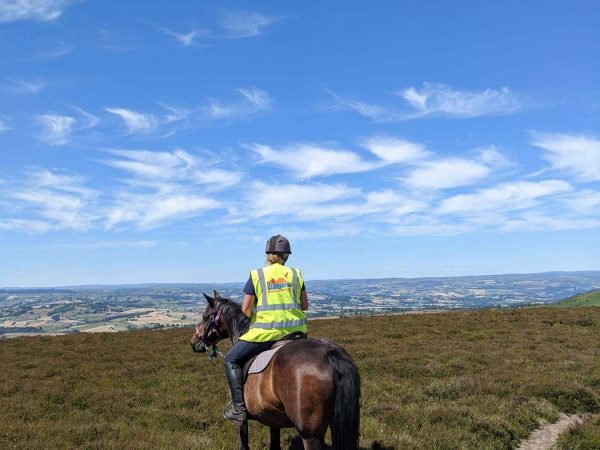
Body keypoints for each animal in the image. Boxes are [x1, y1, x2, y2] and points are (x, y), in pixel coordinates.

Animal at [190, 292, 358, 450]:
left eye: (205, 316)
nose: (194, 342)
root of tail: (329, 352)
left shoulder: (241, 420)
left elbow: (243, 442)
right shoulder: (273, 419)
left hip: (311, 436)